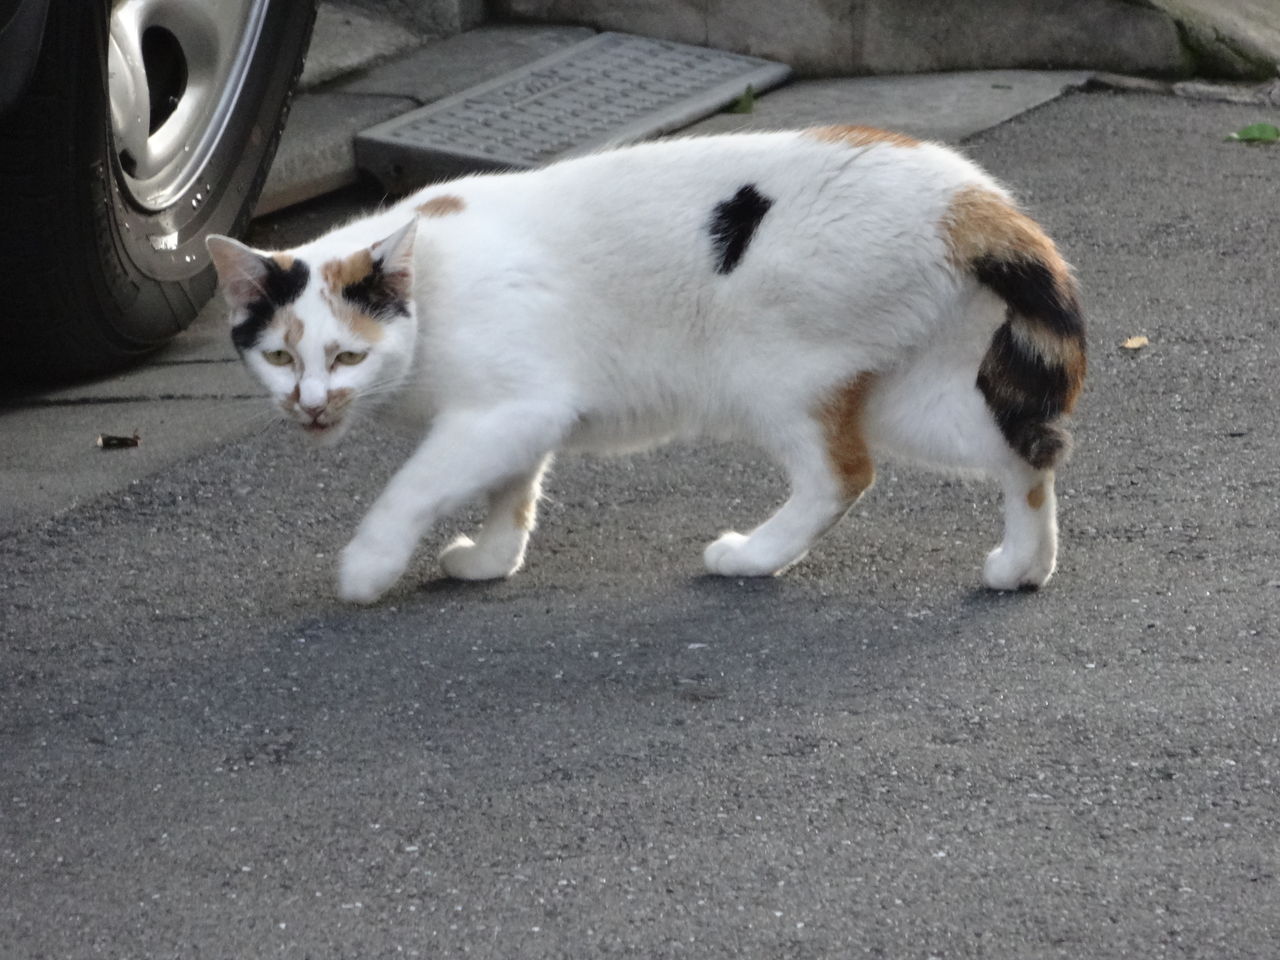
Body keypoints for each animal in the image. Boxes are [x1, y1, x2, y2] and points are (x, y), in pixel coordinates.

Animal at [204, 126, 1085, 604]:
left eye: (348, 353)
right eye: (279, 355)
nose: (310, 404)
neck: (435, 291)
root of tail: (967, 195)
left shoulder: (507, 410)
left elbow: (413, 486)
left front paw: (368, 566)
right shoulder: (514, 418)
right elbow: (510, 494)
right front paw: (492, 559)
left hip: (777, 372)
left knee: (842, 475)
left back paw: (752, 556)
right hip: (910, 392)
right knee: (1029, 449)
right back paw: (1025, 565)